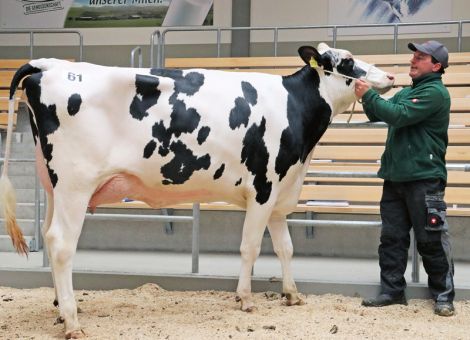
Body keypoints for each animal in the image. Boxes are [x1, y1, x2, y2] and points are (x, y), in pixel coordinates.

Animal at [1, 42, 394, 338]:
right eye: (347, 61)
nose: (390, 75)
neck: (293, 109)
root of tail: (48, 66)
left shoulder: (281, 194)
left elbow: (285, 248)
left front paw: (292, 295)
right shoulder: (263, 188)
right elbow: (251, 247)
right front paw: (245, 299)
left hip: (55, 186)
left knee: (49, 236)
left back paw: (61, 309)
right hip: (76, 184)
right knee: (61, 243)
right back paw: (72, 321)